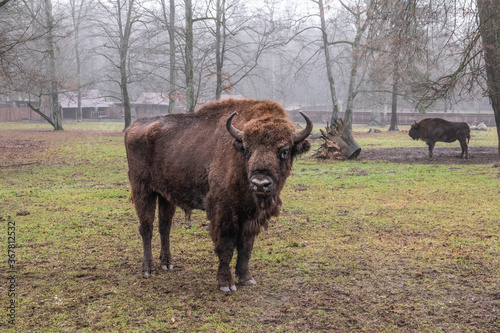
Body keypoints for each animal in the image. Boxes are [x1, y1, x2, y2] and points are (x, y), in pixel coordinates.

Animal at [124, 98, 312, 290]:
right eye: (247, 148)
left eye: (284, 151)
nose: (260, 183)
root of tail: (133, 127)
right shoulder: (224, 212)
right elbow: (226, 245)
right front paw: (226, 284)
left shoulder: (250, 216)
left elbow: (246, 247)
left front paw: (246, 278)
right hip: (143, 190)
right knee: (146, 227)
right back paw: (149, 269)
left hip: (165, 195)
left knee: (165, 226)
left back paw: (167, 263)